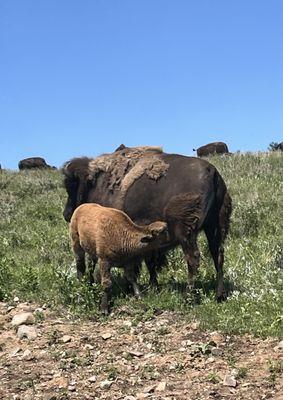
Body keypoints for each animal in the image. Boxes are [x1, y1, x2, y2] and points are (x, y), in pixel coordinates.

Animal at [62, 145, 233, 302]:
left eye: (71, 186)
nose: (66, 214)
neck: (96, 183)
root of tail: (212, 172)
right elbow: (150, 262)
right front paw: (152, 286)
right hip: (215, 227)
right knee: (218, 255)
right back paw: (220, 295)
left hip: (186, 232)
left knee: (193, 258)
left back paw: (187, 297)